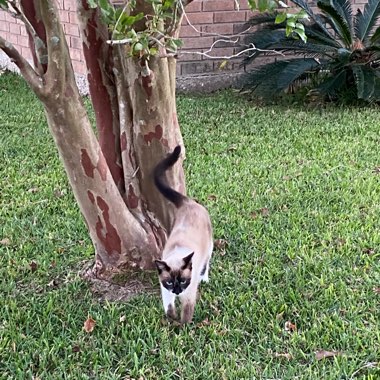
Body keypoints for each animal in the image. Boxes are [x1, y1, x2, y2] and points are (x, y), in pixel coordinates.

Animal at [154, 145, 214, 324]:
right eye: (169, 282)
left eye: (182, 281)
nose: (177, 291)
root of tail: (188, 202)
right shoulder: (165, 292)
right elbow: (168, 308)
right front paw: (172, 319)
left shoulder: (188, 295)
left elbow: (186, 315)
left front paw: (182, 327)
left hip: (209, 248)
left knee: (206, 263)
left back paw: (204, 278)